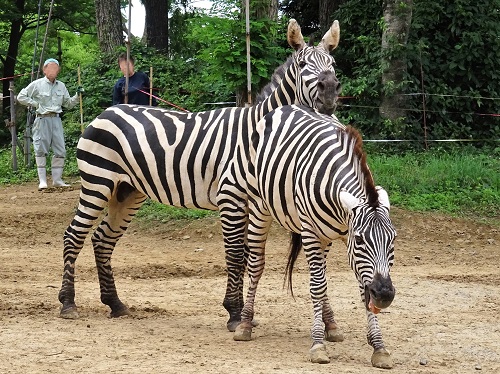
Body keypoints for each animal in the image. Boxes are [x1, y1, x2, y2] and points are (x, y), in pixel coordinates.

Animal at [56, 19, 342, 334]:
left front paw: (243, 313)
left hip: (127, 191)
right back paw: (68, 303)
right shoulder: (231, 197)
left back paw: (115, 304)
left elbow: (245, 255)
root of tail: (106, 111)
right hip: (98, 182)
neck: (258, 134)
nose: (330, 92)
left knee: (102, 239)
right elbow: (235, 255)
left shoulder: (251, 202)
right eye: (303, 64)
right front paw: (234, 313)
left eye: (333, 64)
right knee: (74, 235)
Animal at [235, 104, 398, 368]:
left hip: (325, 235)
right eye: (361, 240)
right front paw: (318, 345)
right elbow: (317, 285)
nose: (384, 295)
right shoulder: (313, 232)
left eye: (392, 240)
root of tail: (287, 106)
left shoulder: (344, 238)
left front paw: (379, 347)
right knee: (257, 266)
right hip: (260, 206)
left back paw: (330, 323)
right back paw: (245, 324)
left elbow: (359, 288)